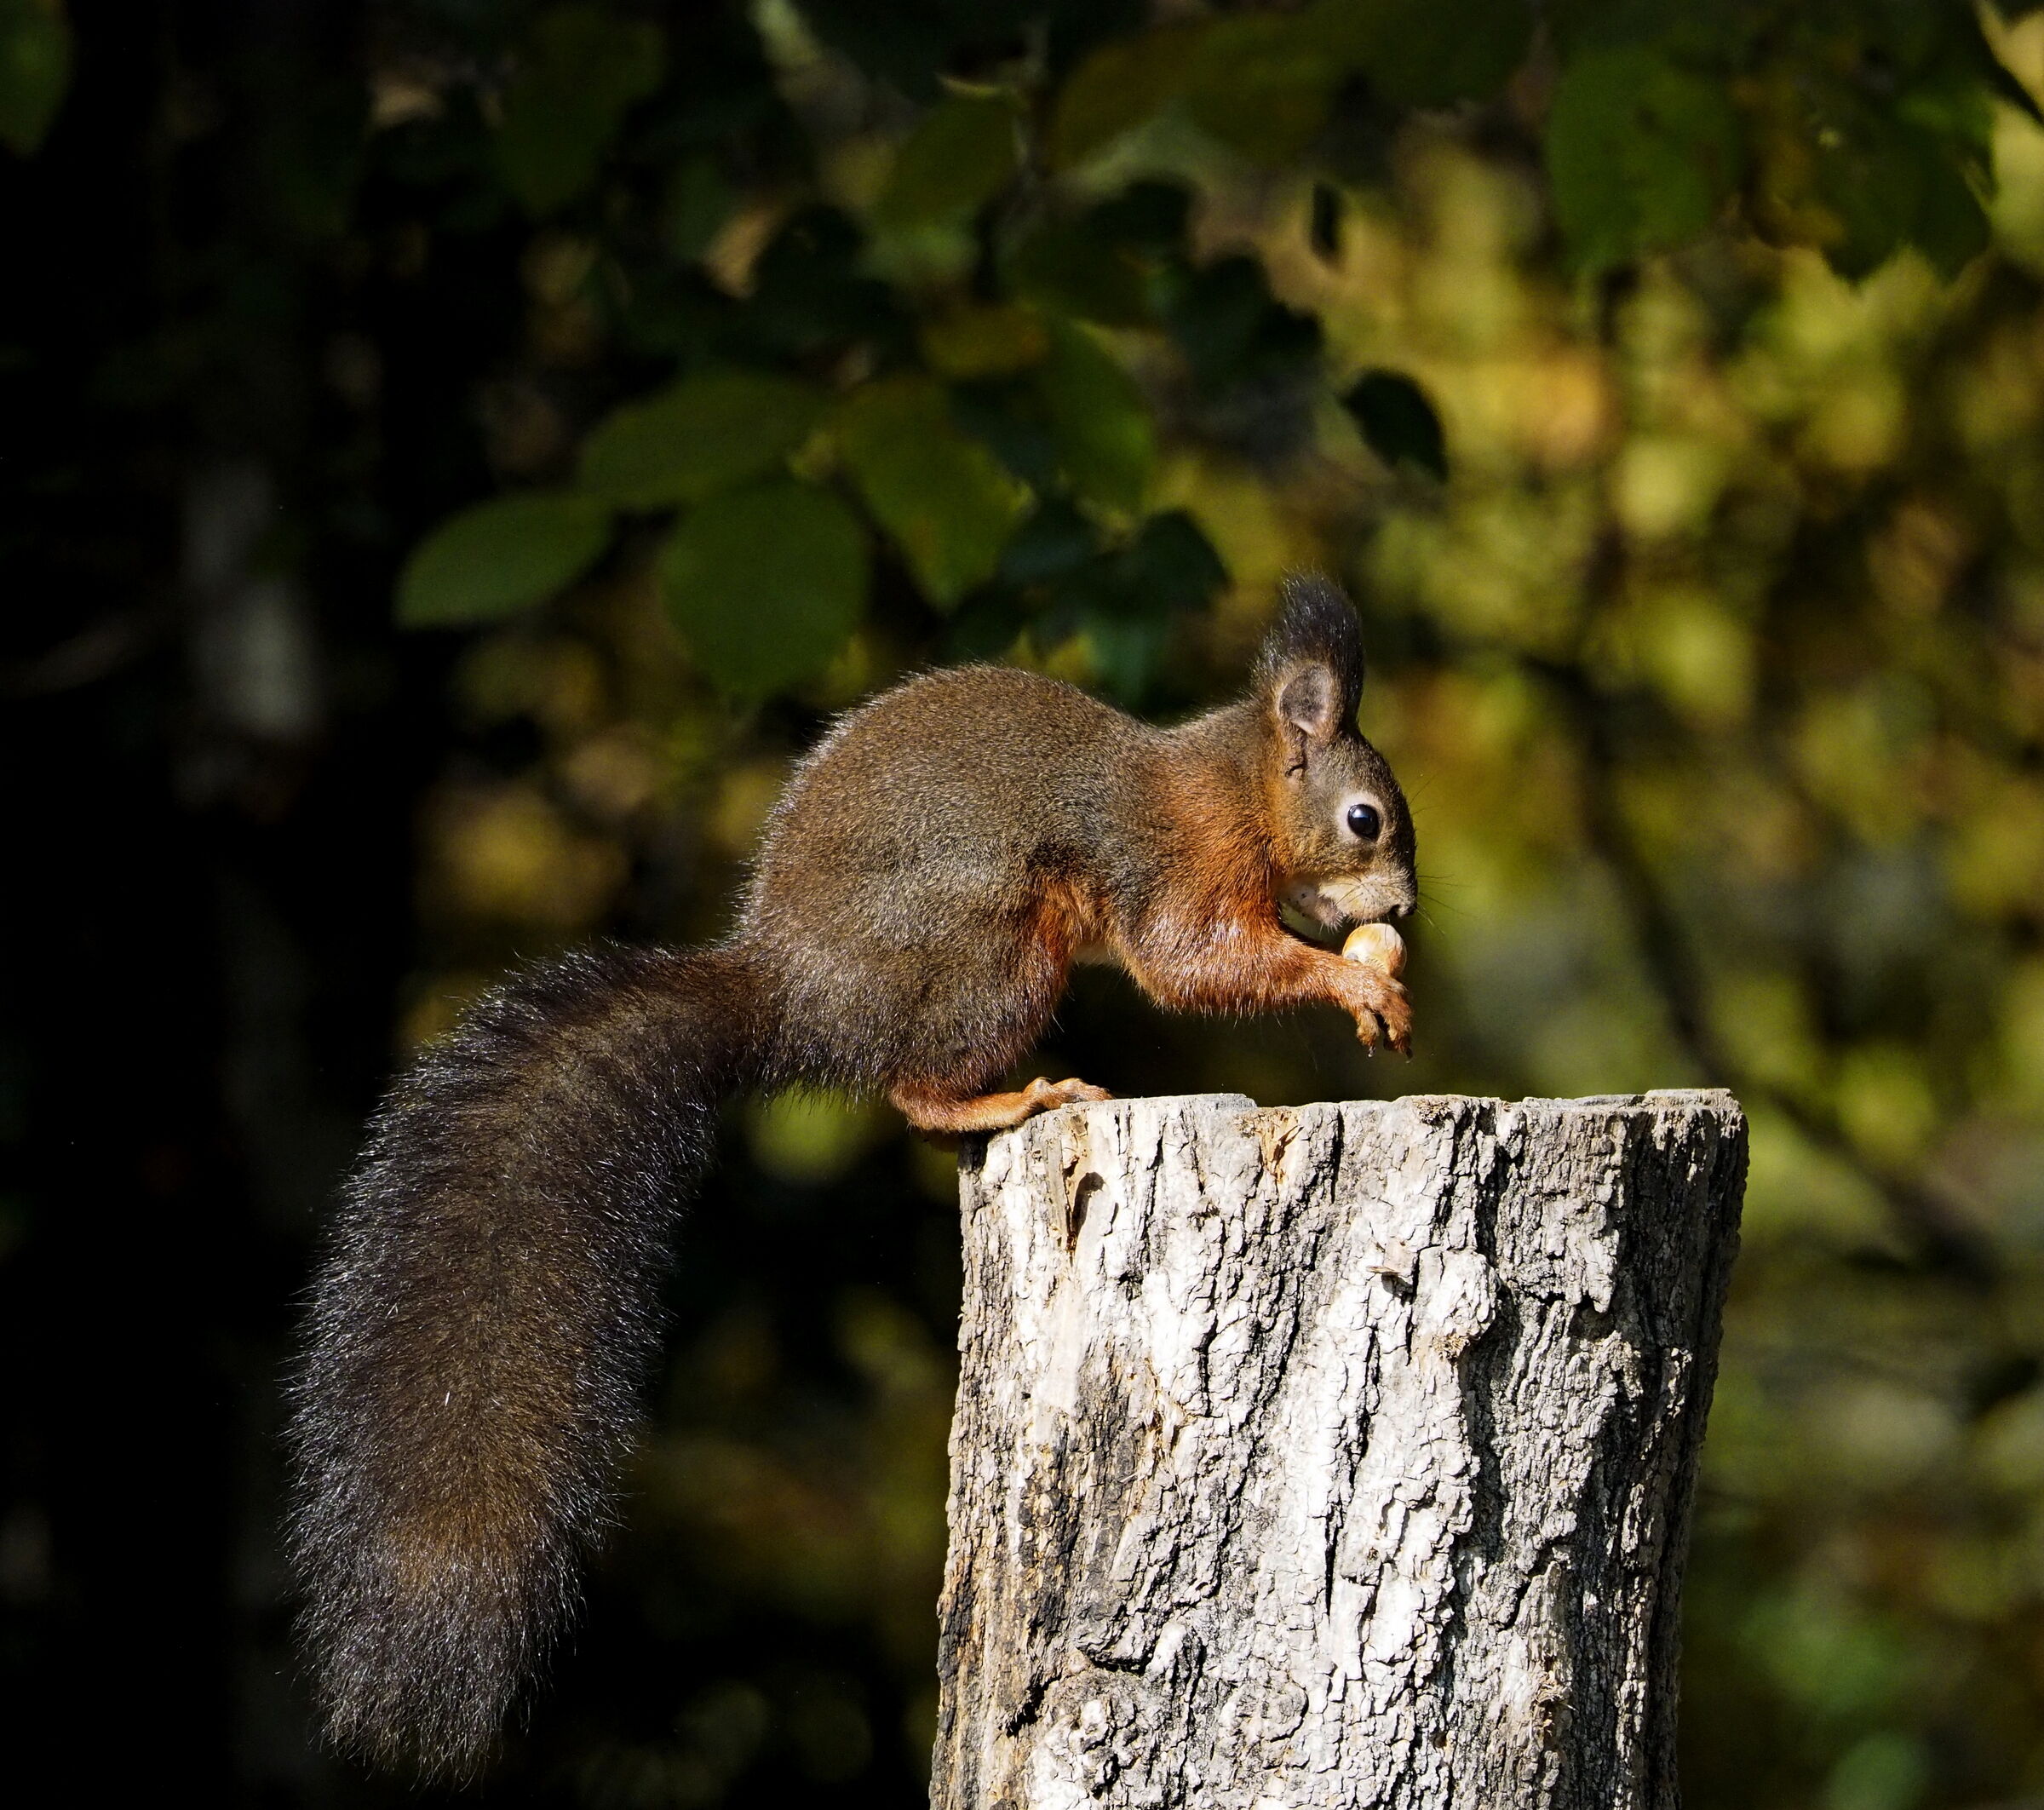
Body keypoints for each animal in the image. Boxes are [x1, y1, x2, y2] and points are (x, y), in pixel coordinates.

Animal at [286, 573, 1418, 1778]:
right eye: (1365, 820)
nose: (1401, 914)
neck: (1237, 790)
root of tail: (801, 996)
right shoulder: (1173, 864)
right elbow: (1194, 961)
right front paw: (1353, 983)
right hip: (990, 950)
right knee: (915, 1093)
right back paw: (1013, 1099)